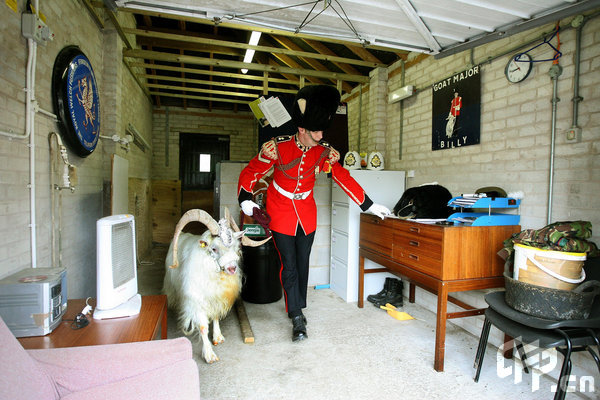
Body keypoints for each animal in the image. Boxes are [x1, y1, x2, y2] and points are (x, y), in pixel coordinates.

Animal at [163, 209, 268, 362]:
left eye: (236, 247)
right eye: (214, 249)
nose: (232, 268)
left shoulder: (217, 299)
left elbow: (216, 317)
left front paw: (218, 337)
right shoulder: (197, 301)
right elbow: (202, 327)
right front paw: (209, 355)